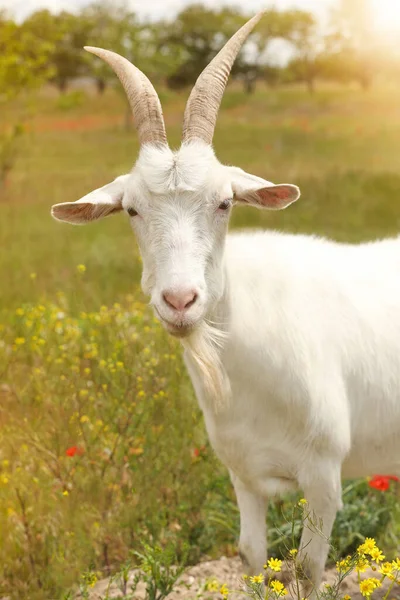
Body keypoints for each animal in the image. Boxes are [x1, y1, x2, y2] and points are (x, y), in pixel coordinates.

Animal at [50, 11, 400, 596]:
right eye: (132, 210)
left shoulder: (324, 475)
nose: (179, 299)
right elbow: (250, 556)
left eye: (224, 202)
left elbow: (307, 570)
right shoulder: (243, 472)